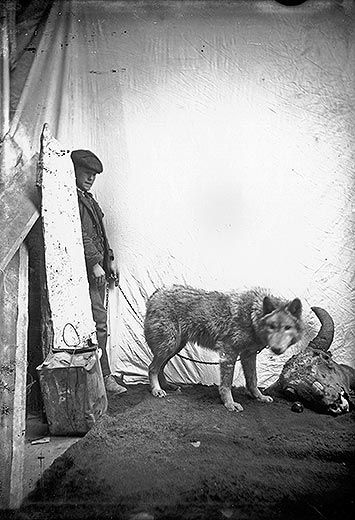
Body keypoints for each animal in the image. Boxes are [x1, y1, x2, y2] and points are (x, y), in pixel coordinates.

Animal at [143, 284, 304, 410]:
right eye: (272, 326)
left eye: (287, 328)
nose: (276, 349)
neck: (252, 315)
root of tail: (155, 293)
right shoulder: (229, 353)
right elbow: (227, 383)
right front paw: (230, 404)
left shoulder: (248, 355)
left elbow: (253, 380)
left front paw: (260, 397)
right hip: (169, 346)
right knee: (152, 368)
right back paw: (157, 390)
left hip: (174, 347)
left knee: (160, 368)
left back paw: (167, 386)